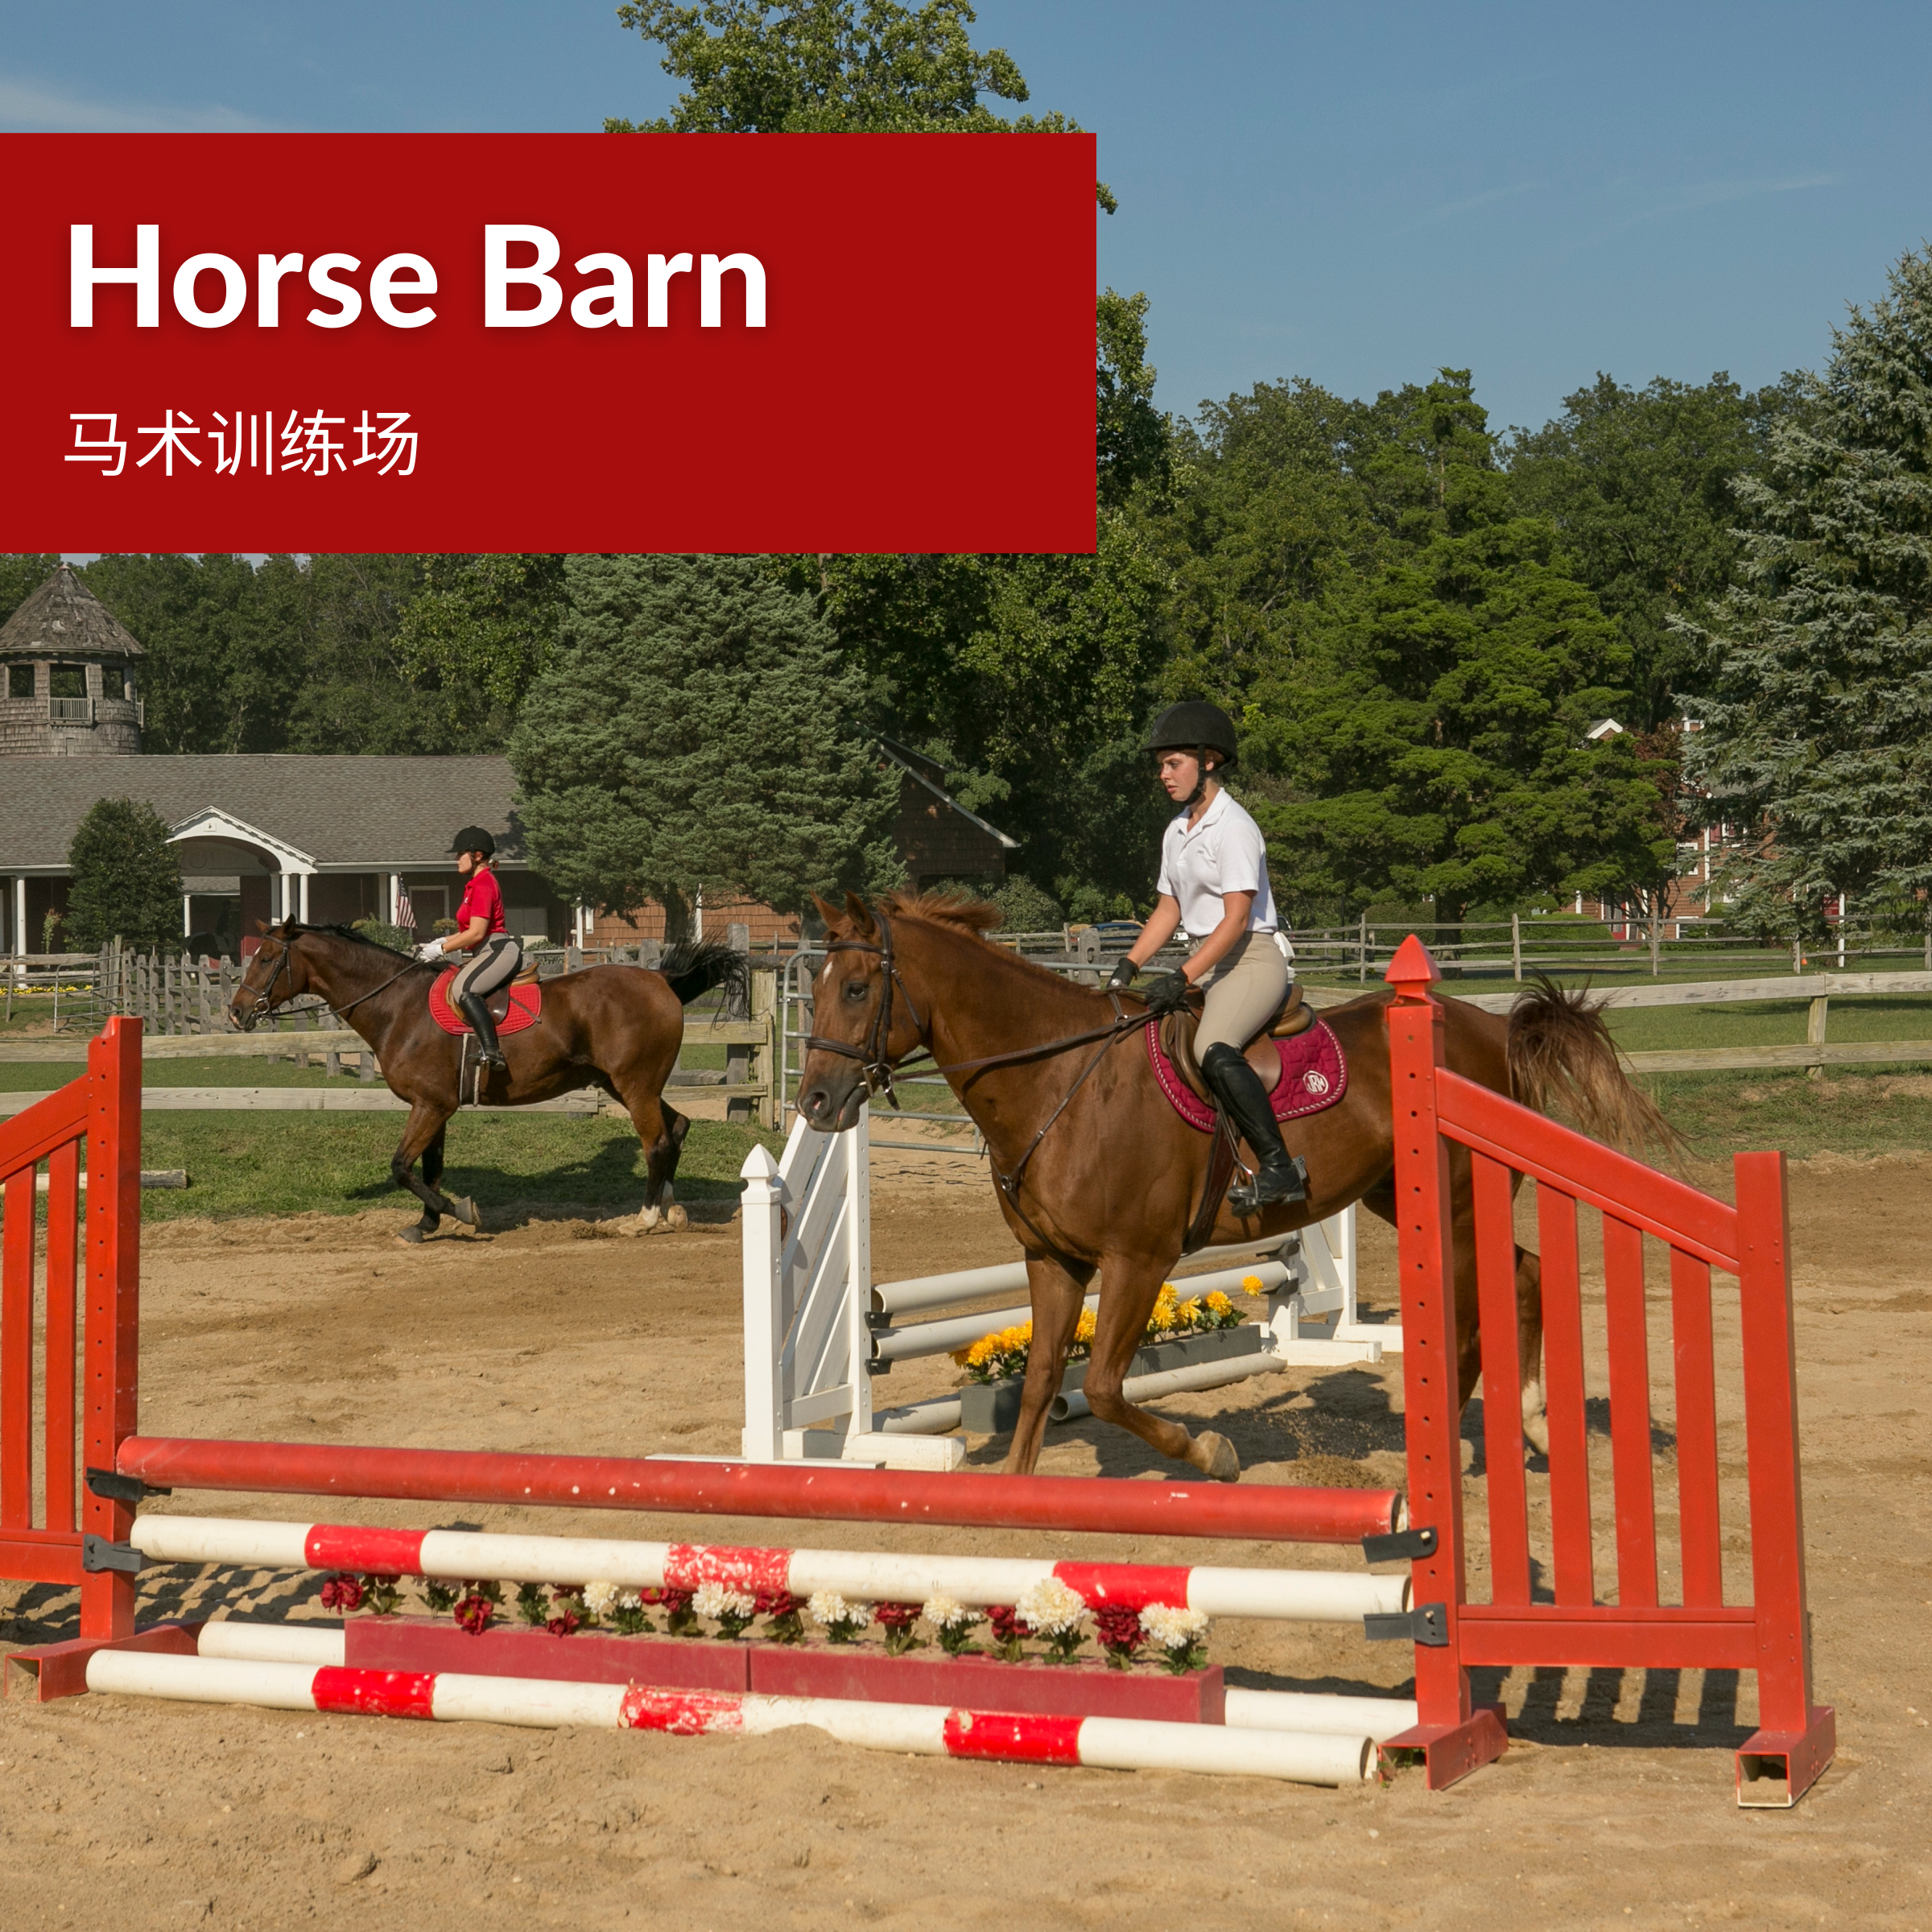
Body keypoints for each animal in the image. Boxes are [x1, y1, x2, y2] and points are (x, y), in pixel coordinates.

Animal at [224, 915, 737, 1236]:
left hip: (634, 1085)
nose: (236, 1012)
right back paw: (671, 1209)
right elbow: (428, 1169)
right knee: (677, 1127)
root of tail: (659, 980)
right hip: (627, 1084)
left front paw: (460, 1212)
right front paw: (426, 1225)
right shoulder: (433, 1105)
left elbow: (402, 1167)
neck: (399, 1006)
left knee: (657, 1142)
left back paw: (645, 1218)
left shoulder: (432, 1105)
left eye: (267, 960)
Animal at [799, 889, 1677, 1476]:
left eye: (857, 988)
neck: (1056, 1082)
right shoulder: (1052, 1261)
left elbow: (1106, 1386)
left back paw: (1450, 1451)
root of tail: (1489, 1024)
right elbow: (1045, 1377)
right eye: (813, 990)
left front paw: (1212, 1453)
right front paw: (1013, 1494)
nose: (815, 1102)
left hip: (1451, 1203)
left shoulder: (1139, 1260)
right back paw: (1533, 1426)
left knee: (1475, 1313)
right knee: (1524, 1277)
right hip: (1402, 1197)